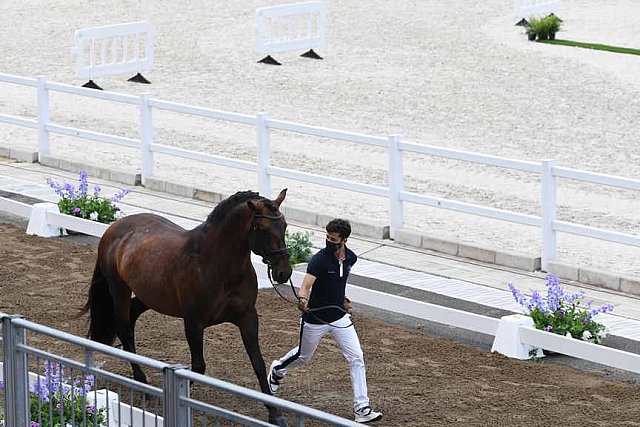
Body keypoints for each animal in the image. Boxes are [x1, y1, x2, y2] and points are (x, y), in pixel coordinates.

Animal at [77, 191, 292, 427]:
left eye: (284, 225)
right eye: (261, 227)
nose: (284, 272)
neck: (219, 264)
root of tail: (115, 227)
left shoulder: (248, 318)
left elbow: (258, 364)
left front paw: (274, 413)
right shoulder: (193, 322)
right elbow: (198, 367)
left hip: (149, 295)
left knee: (130, 321)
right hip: (119, 290)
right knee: (124, 329)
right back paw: (143, 383)